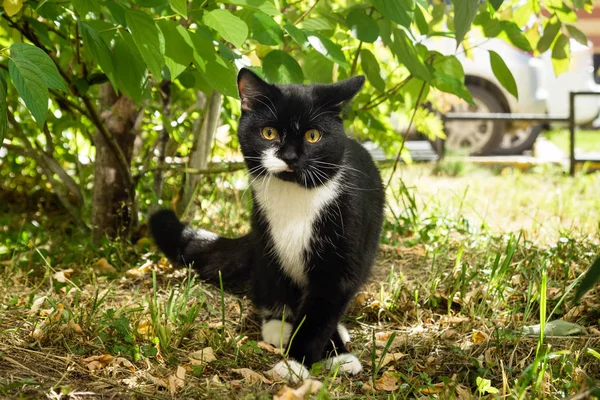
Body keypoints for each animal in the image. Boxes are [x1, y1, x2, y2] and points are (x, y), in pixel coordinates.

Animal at [151, 69, 384, 382]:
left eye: (313, 136)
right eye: (269, 133)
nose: (290, 156)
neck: (295, 198)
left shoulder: (344, 244)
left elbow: (324, 307)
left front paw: (304, 360)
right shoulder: (268, 235)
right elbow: (286, 290)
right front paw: (292, 342)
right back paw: (278, 325)